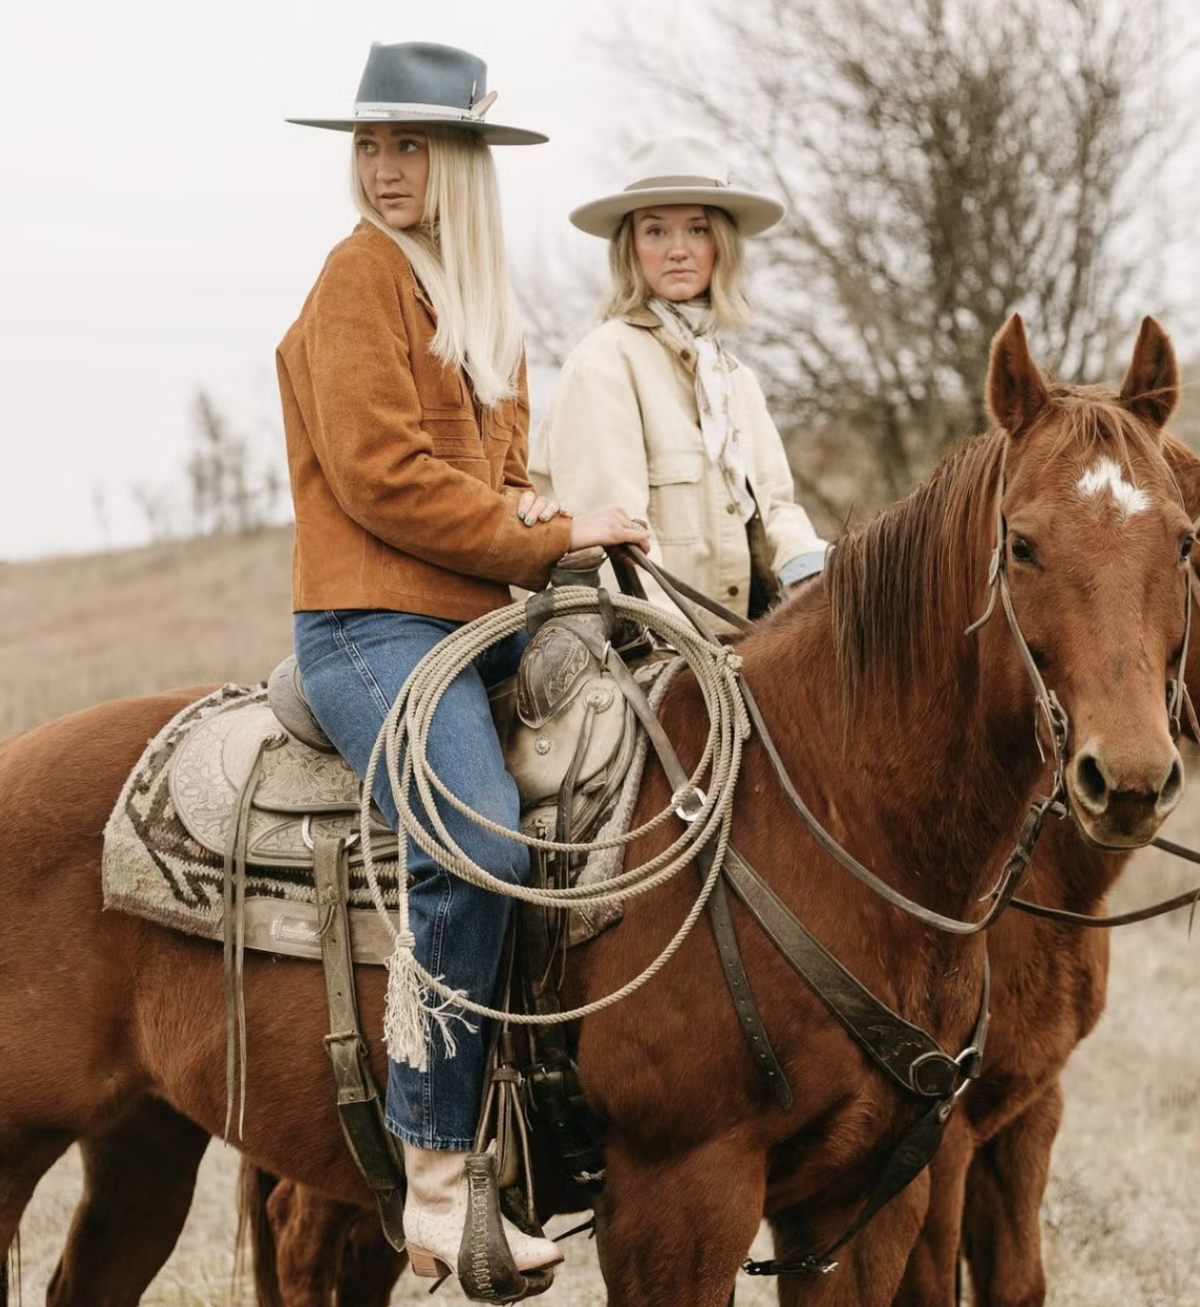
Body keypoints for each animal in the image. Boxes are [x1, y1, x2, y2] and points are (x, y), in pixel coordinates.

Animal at [7, 316, 1192, 1307]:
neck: (828, 825)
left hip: (148, 1140)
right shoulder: (682, 1196)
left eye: (1181, 539)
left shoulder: (865, 1204)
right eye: (1024, 542)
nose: (1127, 775)